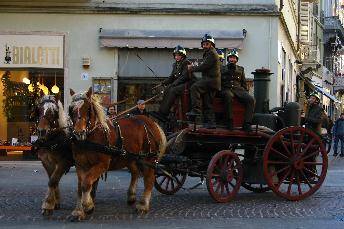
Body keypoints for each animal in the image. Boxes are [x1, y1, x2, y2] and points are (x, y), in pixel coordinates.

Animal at [68, 87, 167, 220]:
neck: (90, 137)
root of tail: (152, 123)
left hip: (148, 159)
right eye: (71, 109)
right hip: (131, 157)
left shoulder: (102, 165)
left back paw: (143, 205)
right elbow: (80, 187)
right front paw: (79, 211)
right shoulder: (80, 165)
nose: (79, 132)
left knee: (149, 179)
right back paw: (131, 196)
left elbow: (86, 183)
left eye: (88, 108)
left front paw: (88, 206)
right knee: (135, 172)